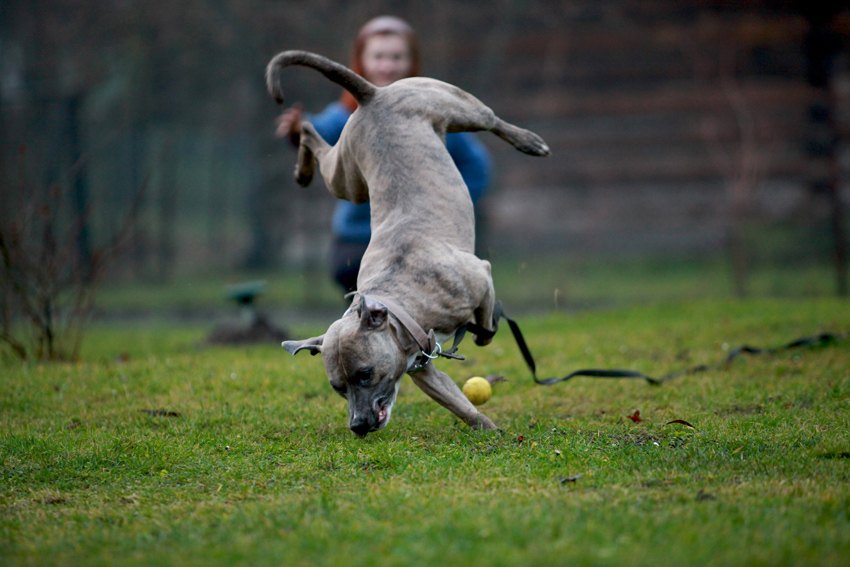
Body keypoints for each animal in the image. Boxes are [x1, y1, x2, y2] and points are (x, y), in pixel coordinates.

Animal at [266, 50, 548, 440]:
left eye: (365, 374)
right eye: (337, 387)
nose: (358, 426)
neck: (403, 307)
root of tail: (371, 94)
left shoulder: (482, 275)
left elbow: (487, 328)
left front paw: (482, 332)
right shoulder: (422, 368)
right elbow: (460, 403)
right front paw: (489, 429)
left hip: (452, 106)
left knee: (491, 119)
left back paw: (529, 141)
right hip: (347, 176)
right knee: (310, 134)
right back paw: (302, 168)